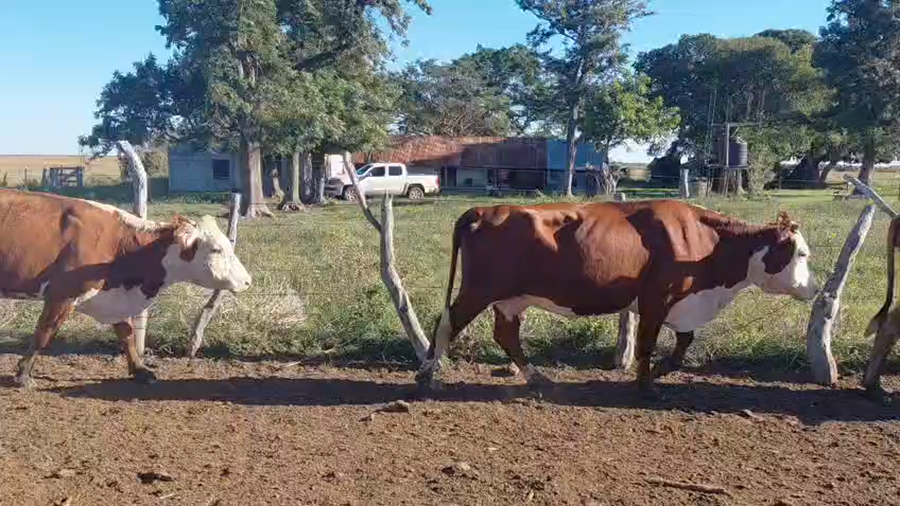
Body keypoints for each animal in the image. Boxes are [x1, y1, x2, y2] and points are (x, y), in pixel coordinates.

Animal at [0, 189, 252, 388]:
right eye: (216, 249)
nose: (248, 281)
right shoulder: (62, 294)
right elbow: (43, 333)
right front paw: (23, 375)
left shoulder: (115, 300)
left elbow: (127, 335)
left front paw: (141, 371)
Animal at [416, 199, 818, 397]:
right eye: (801, 253)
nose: (814, 289)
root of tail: (485, 209)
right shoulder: (657, 298)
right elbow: (645, 344)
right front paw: (646, 385)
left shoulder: (680, 304)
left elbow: (684, 341)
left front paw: (660, 371)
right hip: (478, 290)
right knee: (447, 323)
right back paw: (429, 376)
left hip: (512, 299)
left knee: (506, 336)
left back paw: (538, 378)